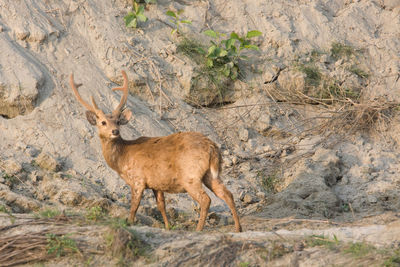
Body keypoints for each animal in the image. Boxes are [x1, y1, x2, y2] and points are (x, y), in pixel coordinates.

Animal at [69, 70, 242, 232]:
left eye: (117, 121)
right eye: (103, 122)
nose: (115, 131)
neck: (123, 158)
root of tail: (212, 146)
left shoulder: (138, 179)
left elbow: (134, 207)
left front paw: (129, 223)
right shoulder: (156, 184)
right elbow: (161, 206)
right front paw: (168, 226)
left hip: (190, 175)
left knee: (206, 199)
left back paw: (199, 229)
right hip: (211, 174)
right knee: (227, 193)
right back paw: (238, 228)